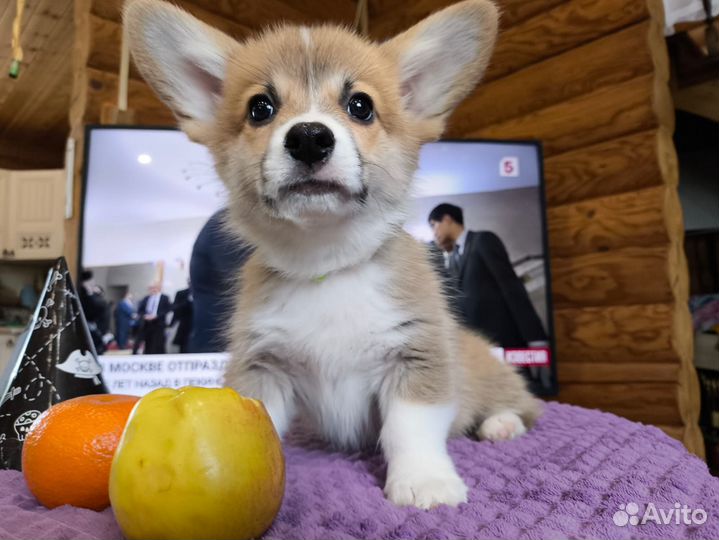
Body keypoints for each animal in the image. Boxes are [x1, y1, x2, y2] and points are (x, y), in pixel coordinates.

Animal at [125, 0, 540, 508]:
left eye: (360, 106)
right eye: (260, 108)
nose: (308, 137)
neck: (328, 265)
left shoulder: (416, 355)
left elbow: (410, 427)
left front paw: (423, 481)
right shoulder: (264, 366)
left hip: (491, 375)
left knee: (526, 407)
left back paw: (501, 423)